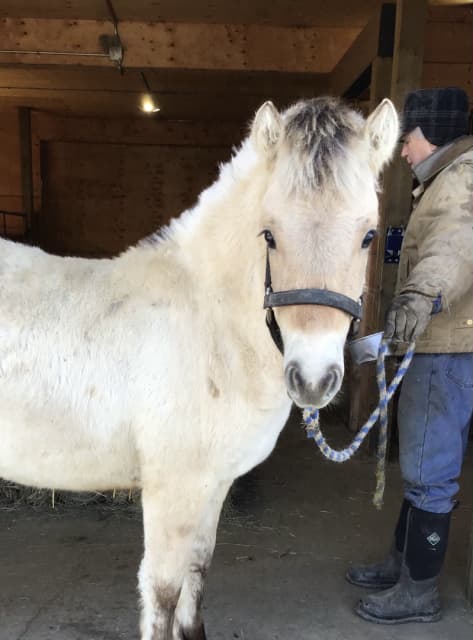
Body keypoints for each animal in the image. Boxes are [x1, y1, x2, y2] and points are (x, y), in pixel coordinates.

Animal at [0, 96, 398, 639]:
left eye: (369, 236)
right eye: (269, 234)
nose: (313, 379)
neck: (209, 325)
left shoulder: (213, 486)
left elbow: (197, 578)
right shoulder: (175, 490)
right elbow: (164, 593)